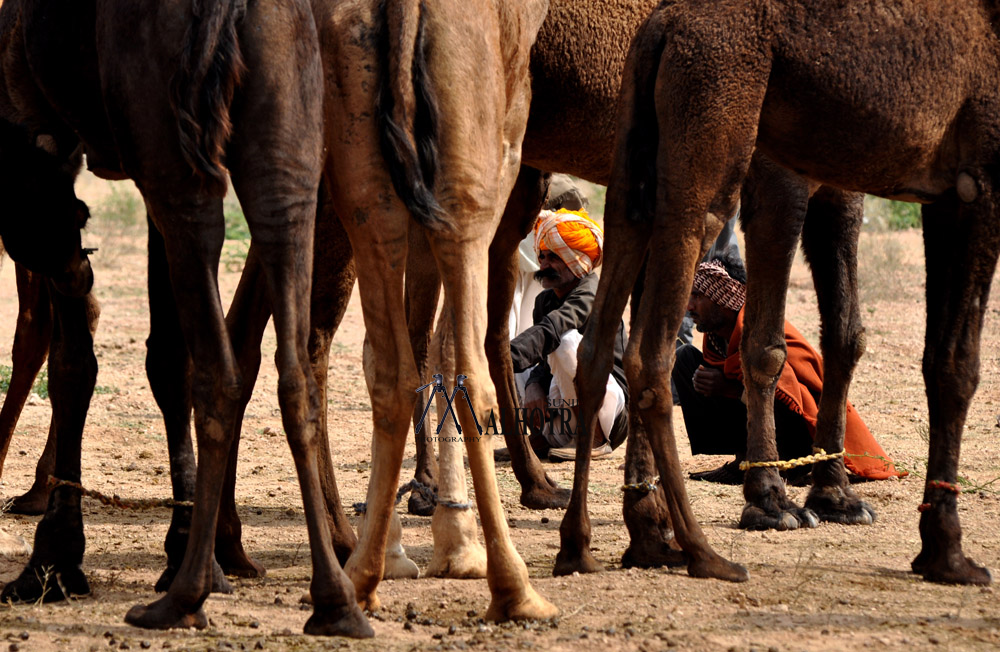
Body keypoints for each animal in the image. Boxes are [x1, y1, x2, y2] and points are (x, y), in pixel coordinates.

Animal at [0, 0, 378, 636]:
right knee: (293, 369)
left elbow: (77, 361)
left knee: (218, 368)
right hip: (286, 150)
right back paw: (334, 600)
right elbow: (158, 357)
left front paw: (52, 561)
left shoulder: (43, 138)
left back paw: (185, 596)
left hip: (175, 153)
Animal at [580, 0, 1000, 588]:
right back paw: (695, 545)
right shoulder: (977, 177)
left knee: (606, 335)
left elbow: (850, 337)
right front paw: (773, 503)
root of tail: (662, 24)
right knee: (649, 346)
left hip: (639, 159)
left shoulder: (872, 186)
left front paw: (836, 496)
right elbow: (768, 346)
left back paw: (615, 541)